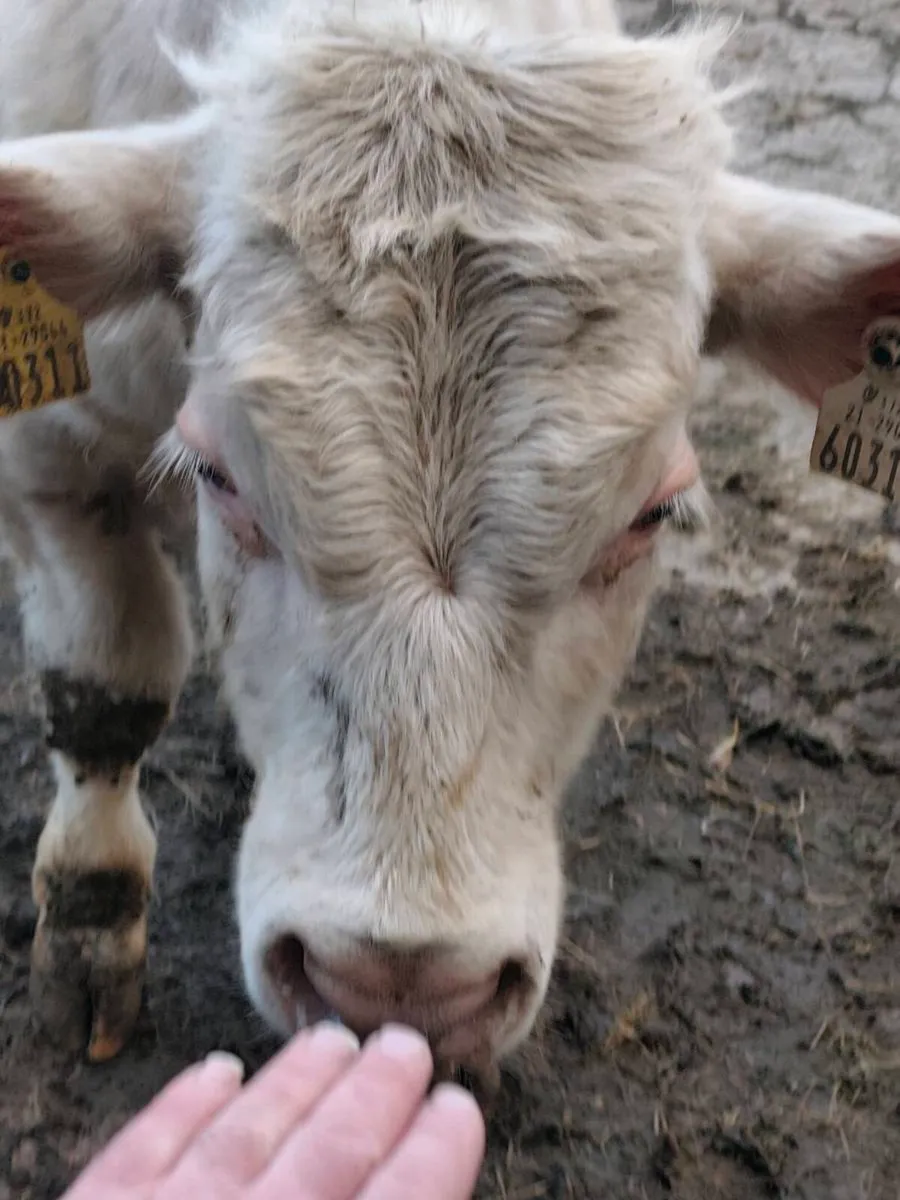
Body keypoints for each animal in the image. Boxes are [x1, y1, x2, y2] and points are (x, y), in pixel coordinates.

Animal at [0, 0, 899, 1093]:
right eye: (217, 474)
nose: (398, 984)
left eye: (653, 513)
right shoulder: (50, 451)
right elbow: (102, 696)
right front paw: (88, 936)